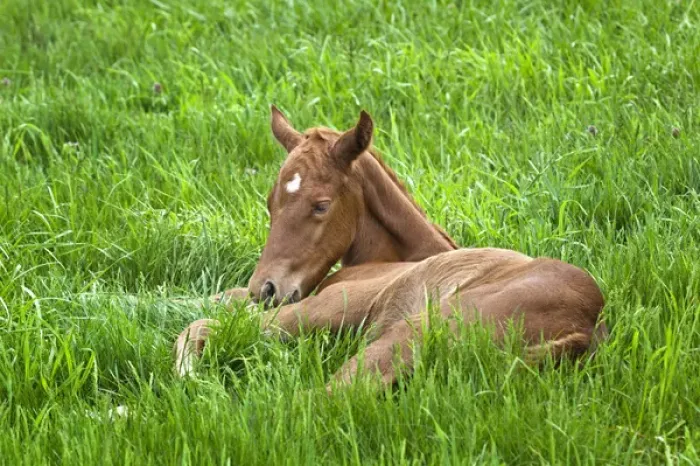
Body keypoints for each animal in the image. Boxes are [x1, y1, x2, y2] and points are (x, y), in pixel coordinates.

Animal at [174, 106, 608, 390]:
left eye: (321, 205)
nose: (265, 289)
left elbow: (204, 323)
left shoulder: (331, 304)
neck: (403, 258)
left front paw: (187, 372)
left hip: (409, 332)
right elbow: (221, 300)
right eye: (270, 201)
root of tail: (583, 331)